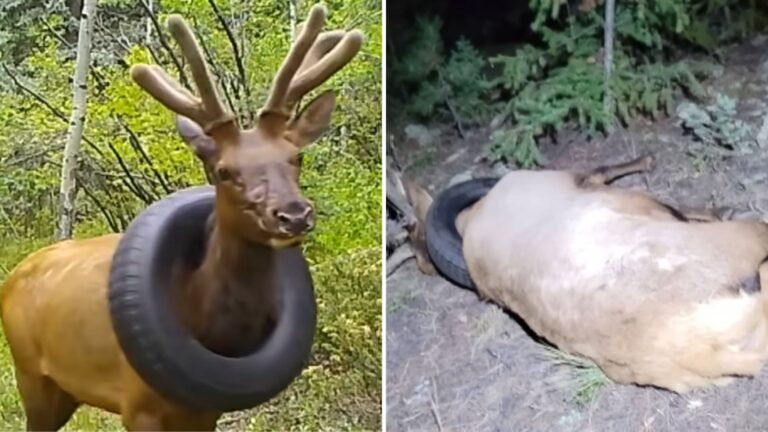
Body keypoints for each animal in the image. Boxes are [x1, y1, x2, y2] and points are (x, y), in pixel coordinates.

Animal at [0, 5, 363, 431]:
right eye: (223, 170)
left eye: (296, 157)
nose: (293, 214)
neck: (206, 321)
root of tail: (16, 274)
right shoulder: (138, 405)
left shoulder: (205, 409)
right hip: (31, 373)